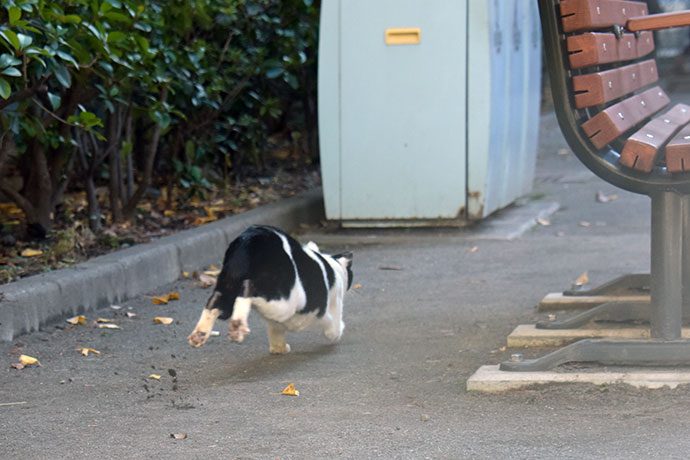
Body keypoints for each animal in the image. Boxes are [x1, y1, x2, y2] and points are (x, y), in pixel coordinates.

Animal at [187, 226, 352, 352]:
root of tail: (251, 238)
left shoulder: (275, 324)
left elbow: (276, 339)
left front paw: (280, 349)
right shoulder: (333, 307)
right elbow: (334, 329)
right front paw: (337, 332)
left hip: (228, 285)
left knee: (217, 300)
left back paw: (200, 333)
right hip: (284, 302)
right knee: (248, 289)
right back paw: (238, 325)